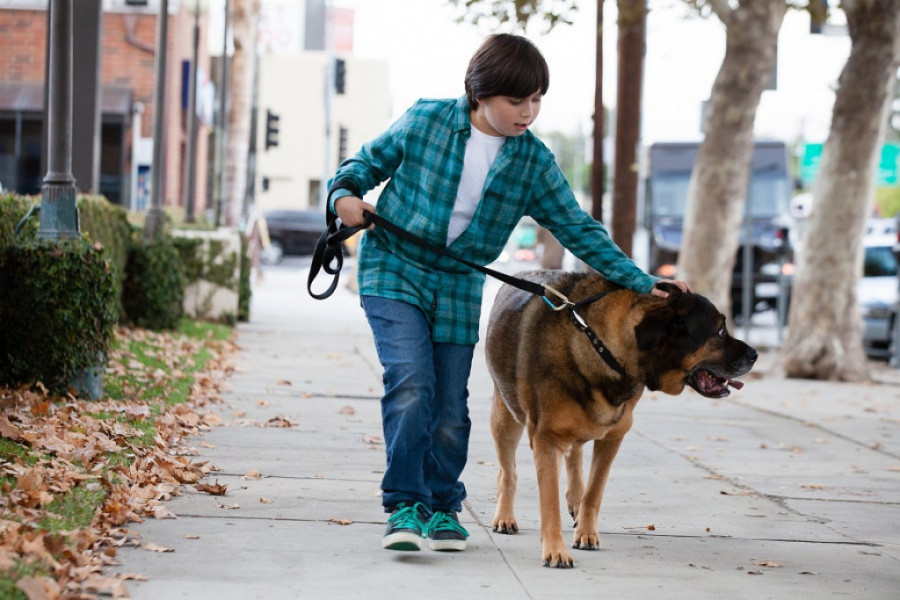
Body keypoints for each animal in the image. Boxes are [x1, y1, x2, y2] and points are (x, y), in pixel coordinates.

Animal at [486, 270, 760, 568]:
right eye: (720, 331)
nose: (755, 354)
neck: (602, 346)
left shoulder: (613, 438)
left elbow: (594, 492)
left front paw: (586, 531)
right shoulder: (547, 439)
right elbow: (549, 502)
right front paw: (555, 549)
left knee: (574, 455)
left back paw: (575, 498)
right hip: (505, 421)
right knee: (508, 472)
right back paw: (505, 516)